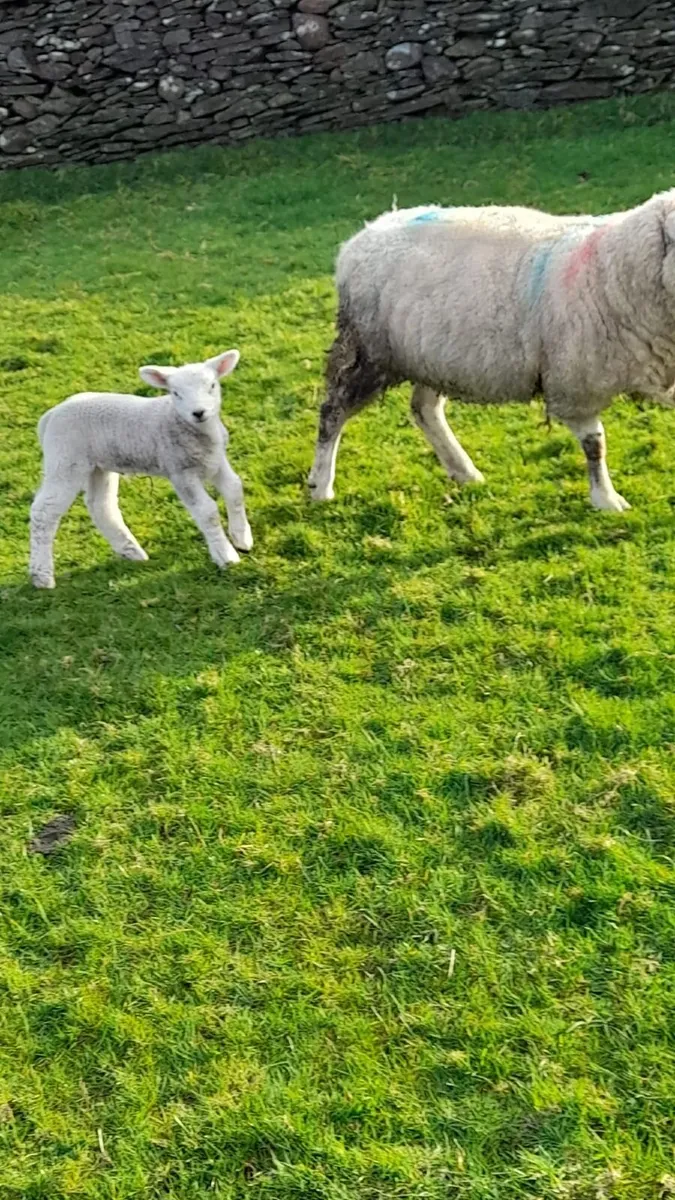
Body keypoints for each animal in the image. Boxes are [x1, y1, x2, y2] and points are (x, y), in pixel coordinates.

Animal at [29, 350, 253, 589]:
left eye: (212, 385)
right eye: (176, 393)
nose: (198, 412)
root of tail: (50, 415)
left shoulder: (216, 460)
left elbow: (234, 489)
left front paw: (242, 539)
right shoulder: (180, 470)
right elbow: (207, 511)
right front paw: (226, 555)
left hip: (97, 465)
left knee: (100, 505)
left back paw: (131, 551)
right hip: (64, 459)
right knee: (43, 512)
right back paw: (41, 576)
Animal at [308, 191, 675, 511]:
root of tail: (362, 237)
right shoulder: (575, 383)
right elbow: (595, 445)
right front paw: (607, 501)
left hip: (434, 356)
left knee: (424, 409)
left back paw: (463, 471)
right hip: (368, 350)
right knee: (333, 412)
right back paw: (320, 486)